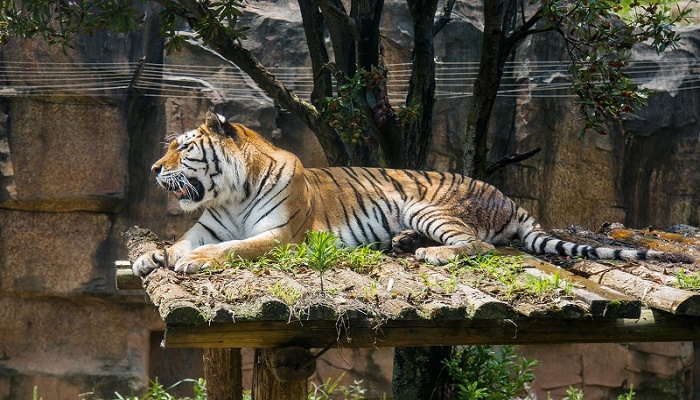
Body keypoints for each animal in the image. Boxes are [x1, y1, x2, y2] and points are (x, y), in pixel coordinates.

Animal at [131, 112, 694, 276]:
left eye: (184, 147)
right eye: (170, 147)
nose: (154, 168)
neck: (227, 193)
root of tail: (511, 199)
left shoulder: (281, 237)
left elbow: (231, 248)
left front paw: (191, 262)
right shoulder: (204, 223)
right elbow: (182, 241)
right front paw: (151, 257)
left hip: (427, 203)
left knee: (480, 245)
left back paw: (428, 252)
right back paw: (404, 243)